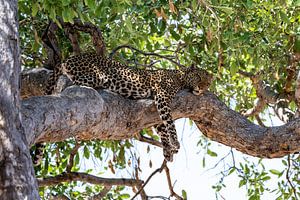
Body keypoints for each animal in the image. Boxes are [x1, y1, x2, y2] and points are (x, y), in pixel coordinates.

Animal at [34, 52, 212, 164]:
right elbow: (169, 123)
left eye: (208, 82)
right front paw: (174, 142)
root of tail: (70, 57)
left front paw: (167, 150)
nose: (202, 88)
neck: (180, 77)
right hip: (96, 76)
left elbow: (162, 128)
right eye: (198, 77)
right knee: (73, 82)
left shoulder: (156, 109)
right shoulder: (162, 96)